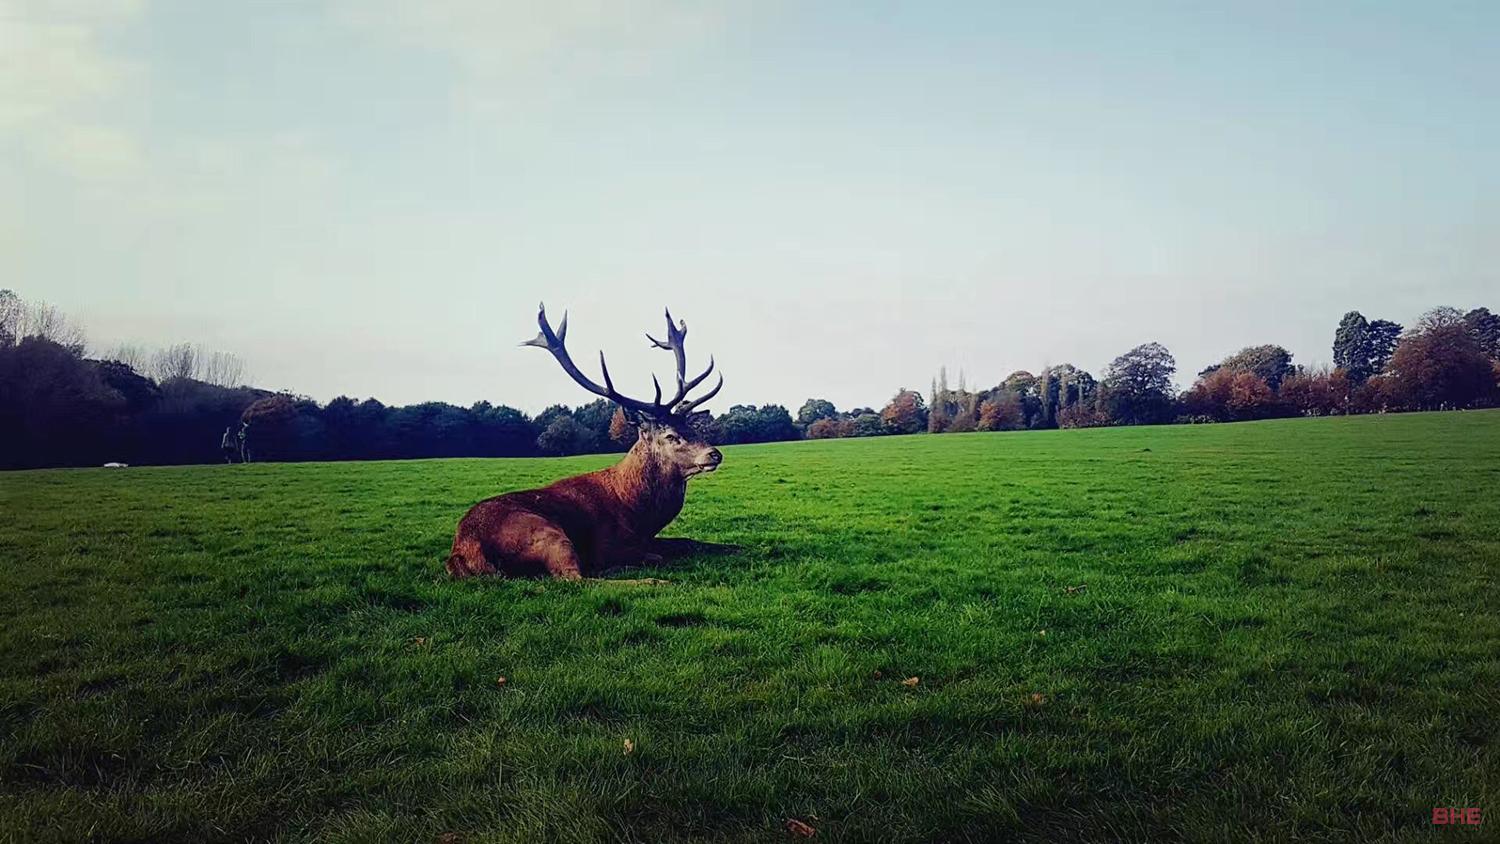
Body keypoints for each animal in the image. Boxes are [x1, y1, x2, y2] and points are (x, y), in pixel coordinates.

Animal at [444, 307, 726, 584]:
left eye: (693, 428)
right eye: (670, 435)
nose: (715, 454)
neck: (638, 513)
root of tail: (462, 553)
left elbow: (690, 542)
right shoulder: (610, 544)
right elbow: (655, 555)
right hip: (545, 531)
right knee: (574, 577)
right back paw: (648, 580)